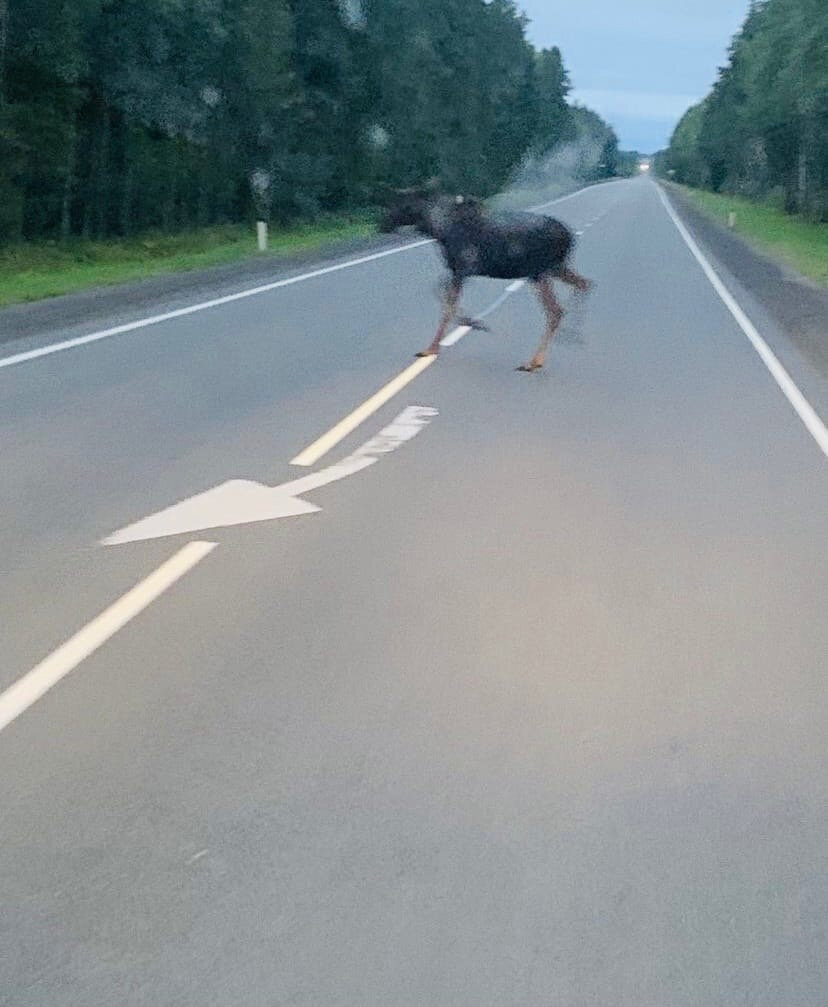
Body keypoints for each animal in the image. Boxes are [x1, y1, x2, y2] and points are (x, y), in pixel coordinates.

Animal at [378, 185, 592, 370]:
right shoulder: (459, 270)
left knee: (556, 310)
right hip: (555, 267)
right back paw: (571, 336)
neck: (439, 230)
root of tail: (569, 236)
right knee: (584, 283)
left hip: (538, 271)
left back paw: (534, 361)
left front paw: (432, 348)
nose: (384, 224)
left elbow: (446, 303)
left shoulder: (464, 268)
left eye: (401, 204)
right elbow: (441, 293)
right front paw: (472, 322)